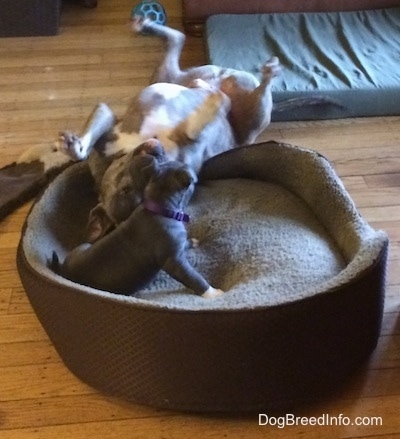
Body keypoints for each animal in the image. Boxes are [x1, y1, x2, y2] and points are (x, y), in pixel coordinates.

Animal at [50, 146, 223, 300]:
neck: (159, 206)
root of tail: (63, 270)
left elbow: (185, 244)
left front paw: (192, 242)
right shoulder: (174, 262)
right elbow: (194, 278)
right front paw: (212, 293)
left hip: (84, 246)